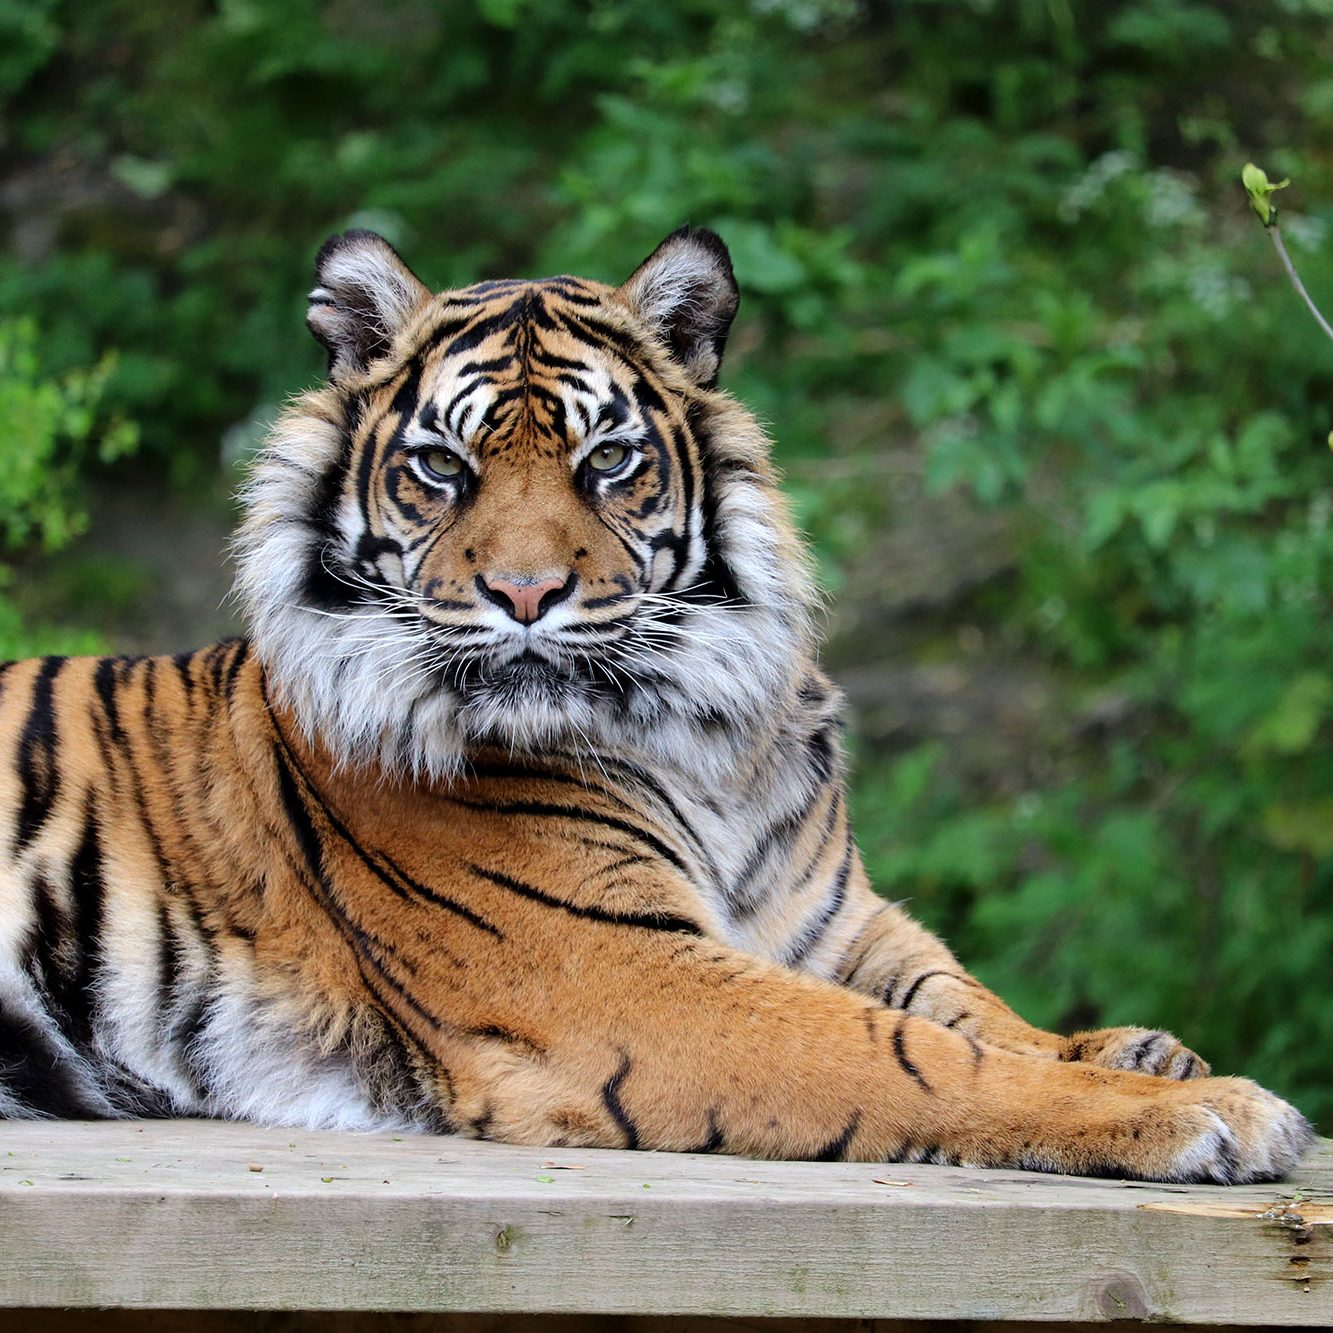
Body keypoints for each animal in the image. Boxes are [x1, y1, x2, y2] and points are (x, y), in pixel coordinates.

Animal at [0, 223, 1311, 1183]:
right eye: (443, 468)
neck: (698, 735)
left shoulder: (828, 916)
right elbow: (909, 1053)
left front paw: (1138, 1048)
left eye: (606, 461)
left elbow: (961, 998)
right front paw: (1203, 1109)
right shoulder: (614, 970)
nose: (525, 593)